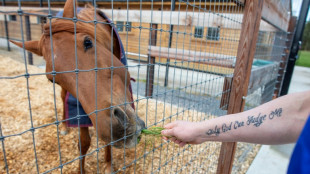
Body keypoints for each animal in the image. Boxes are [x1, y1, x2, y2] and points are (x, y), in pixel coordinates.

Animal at [10, 0, 145, 172]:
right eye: (53, 79)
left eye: (88, 42)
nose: (117, 129)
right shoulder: (80, 107)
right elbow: (84, 142)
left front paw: (108, 165)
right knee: (62, 98)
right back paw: (64, 127)